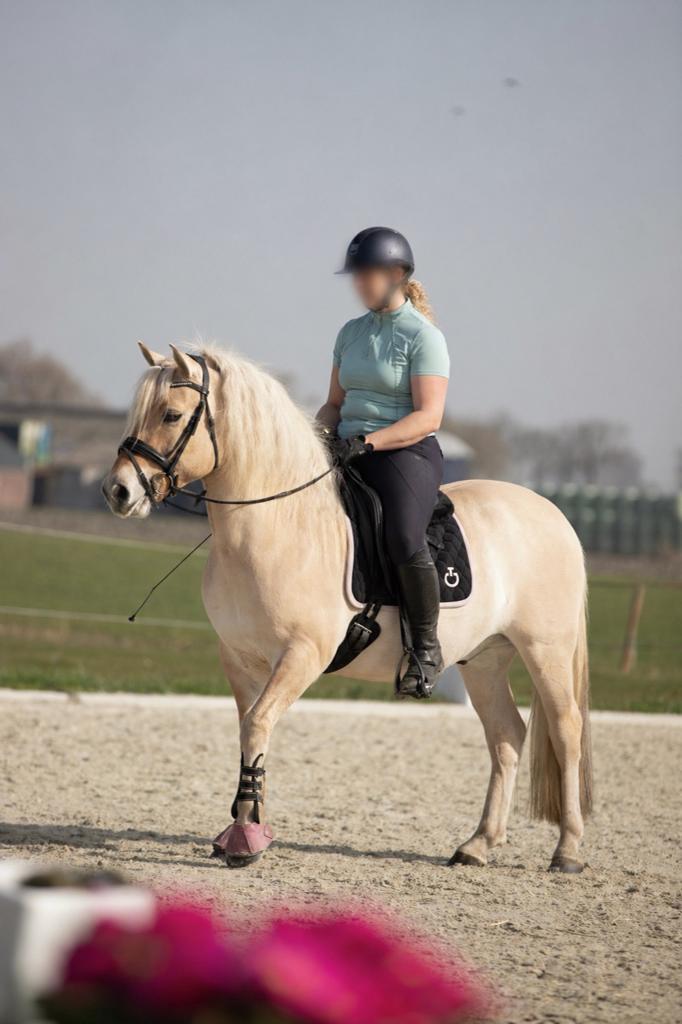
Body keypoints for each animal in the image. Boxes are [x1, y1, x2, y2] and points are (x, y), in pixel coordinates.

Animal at [102, 342, 592, 873]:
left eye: (171, 414)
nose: (118, 491)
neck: (278, 524)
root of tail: (553, 514)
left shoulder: (303, 655)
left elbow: (257, 724)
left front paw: (245, 840)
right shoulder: (239, 658)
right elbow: (252, 731)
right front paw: (244, 828)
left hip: (546, 649)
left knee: (566, 730)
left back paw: (568, 850)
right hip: (483, 660)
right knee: (506, 736)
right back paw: (477, 844)